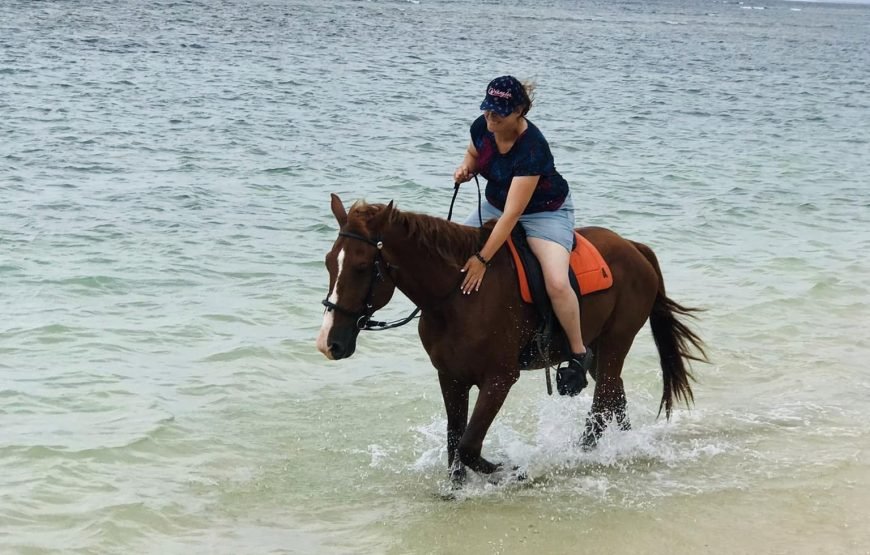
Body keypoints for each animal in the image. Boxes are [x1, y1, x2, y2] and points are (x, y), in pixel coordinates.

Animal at [316, 194, 707, 484]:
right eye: (328, 263)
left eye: (362, 267)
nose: (329, 343)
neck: (457, 296)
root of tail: (633, 247)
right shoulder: (451, 377)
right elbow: (454, 441)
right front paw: (455, 489)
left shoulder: (500, 378)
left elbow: (469, 446)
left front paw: (513, 471)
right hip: (598, 350)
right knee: (615, 399)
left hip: (614, 343)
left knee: (601, 406)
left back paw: (580, 456)